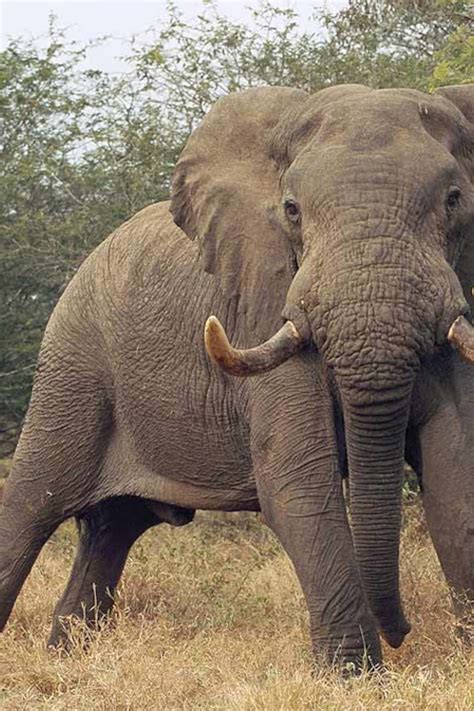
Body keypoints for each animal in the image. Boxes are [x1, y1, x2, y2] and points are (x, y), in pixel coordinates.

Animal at [0, 82, 473, 672]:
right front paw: (354, 679)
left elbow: (455, 466)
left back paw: (67, 659)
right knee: (30, 506)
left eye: (454, 200)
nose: (402, 633)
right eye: (291, 211)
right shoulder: (264, 299)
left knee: (110, 529)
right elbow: (297, 478)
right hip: (73, 366)